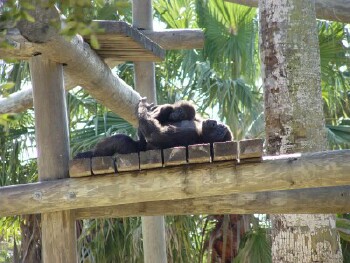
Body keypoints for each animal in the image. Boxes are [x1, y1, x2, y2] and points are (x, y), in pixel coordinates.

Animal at [74, 99, 232, 159]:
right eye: (220, 126)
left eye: (219, 131)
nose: (214, 123)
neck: (200, 131)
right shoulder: (198, 120)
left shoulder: (187, 136)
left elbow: (156, 135)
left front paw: (143, 108)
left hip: (134, 149)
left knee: (121, 141)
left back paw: (91, 154)